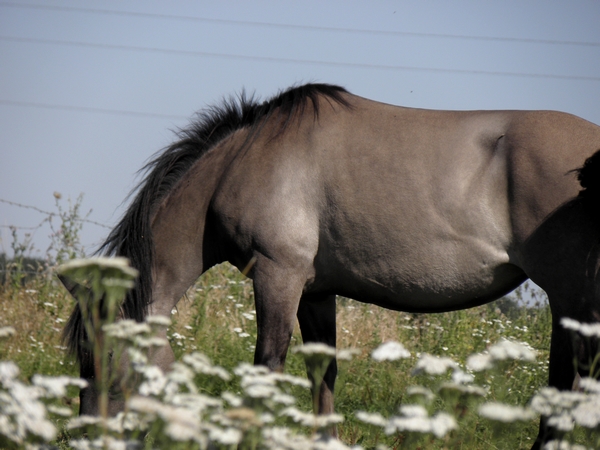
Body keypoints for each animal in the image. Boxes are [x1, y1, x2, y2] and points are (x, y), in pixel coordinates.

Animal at [61, 83, 600, 446]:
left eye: (103, 356)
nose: (85, 438)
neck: (243, 161)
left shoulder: (278, 275)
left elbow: (267, 367)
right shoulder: (315, 291)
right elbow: (323, 375)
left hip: (570, 297)